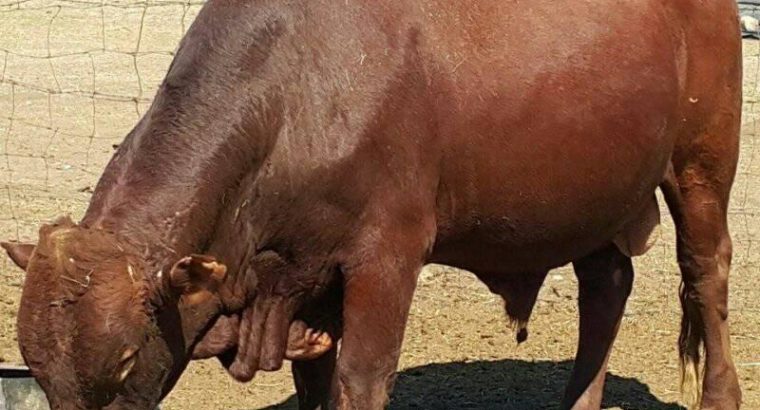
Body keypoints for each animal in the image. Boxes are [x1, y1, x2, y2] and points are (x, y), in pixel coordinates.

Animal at [1, 0, 743, 409]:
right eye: (35, 366)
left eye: (126, 359)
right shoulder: (300, 273)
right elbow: (314, 380)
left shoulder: (387, 254)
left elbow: (361, 378)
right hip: (592, 194)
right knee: (607, 284)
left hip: (702, 163)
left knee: (705, 274)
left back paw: (721, 394)